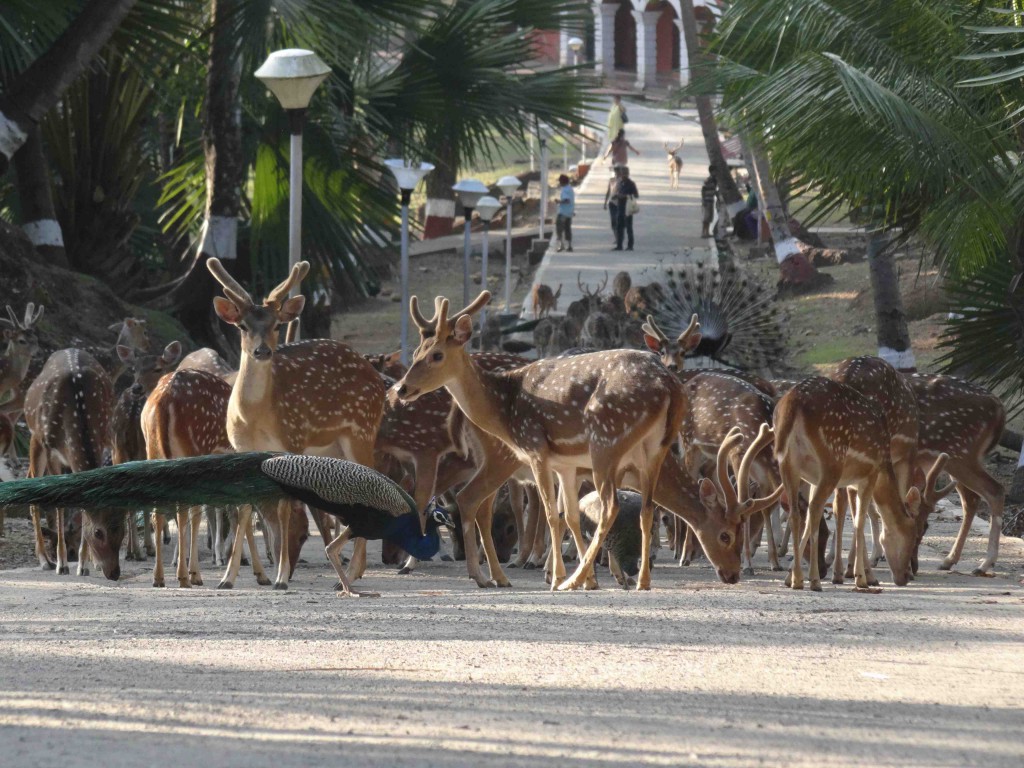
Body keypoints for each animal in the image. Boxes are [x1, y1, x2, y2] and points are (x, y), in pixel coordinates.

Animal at [24, 352, 124, 581]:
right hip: (36, 438)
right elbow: (60, 504)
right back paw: (45, 560)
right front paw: (62, 564)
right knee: (30, 479)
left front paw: (83, 564)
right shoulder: (51, 450)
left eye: (122, 531)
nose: (114, 573)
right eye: (98, 533)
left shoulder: (102, 440)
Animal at [205, 259, 385, 593]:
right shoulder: (241, 448)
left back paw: (351, 573)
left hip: (362, 429)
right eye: (242, 326)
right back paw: (351, 572)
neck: (254, 417)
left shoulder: (292, 440)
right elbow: (245, 507)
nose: (263, 351)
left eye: (277, 325)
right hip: (332, 446)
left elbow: (285, 507)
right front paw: (227, 578)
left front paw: (280, 577)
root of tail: (376, 375)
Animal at [391, 292, 774, 589]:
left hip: (603, 439)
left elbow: (557, 514)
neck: (504, 405)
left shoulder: (538, 449)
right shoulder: (565, 464)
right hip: (647, 448)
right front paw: (579, 575)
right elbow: (569, 515)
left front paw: (567, 576)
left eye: (437, 355)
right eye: (417, 353)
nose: (402, 389)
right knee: (643, 508)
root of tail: (669, 385)